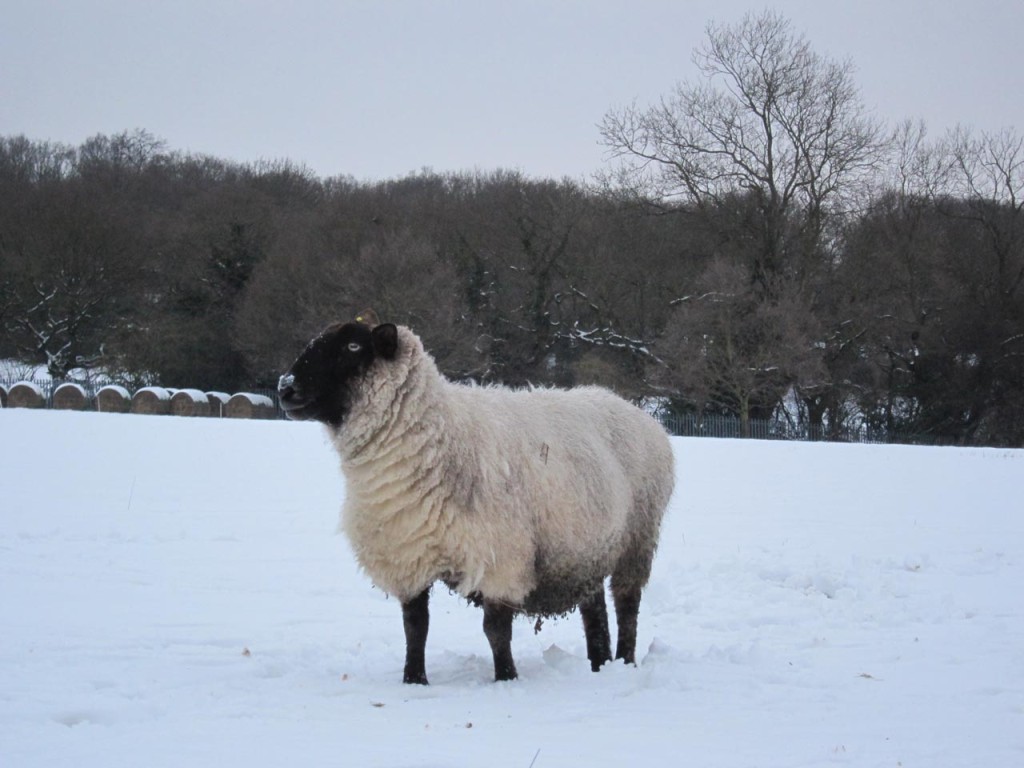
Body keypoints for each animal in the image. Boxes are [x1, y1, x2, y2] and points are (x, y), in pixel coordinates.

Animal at [276, 319, 675, 684]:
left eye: (353, 347)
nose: (285, 387)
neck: (439, 436)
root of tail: (628, 406)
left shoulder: (500, 555)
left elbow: (495, 630)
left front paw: (506, 679)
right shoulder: (408, 552)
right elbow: (415, 626)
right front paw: (414, 680)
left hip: (637, 538)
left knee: (627, 606)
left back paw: (624, 662)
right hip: (586, 545)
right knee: (594, 611)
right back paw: (599, 664)